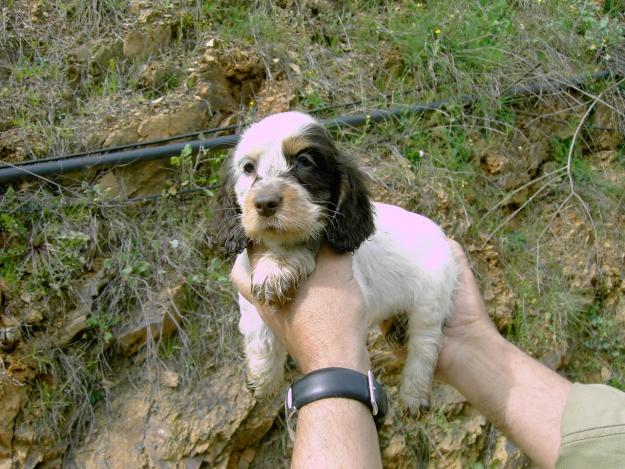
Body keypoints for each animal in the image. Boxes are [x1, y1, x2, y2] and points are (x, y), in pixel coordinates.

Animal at [216, 110, 458, 414]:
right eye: (248, 168)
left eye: (304, 162)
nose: (264, 203)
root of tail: (443, 238)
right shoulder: (248, 295)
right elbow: (259, 336)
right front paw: (262, 379)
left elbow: (305, 242)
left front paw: (277, 268)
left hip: (431, 301)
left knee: (425, 346)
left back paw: (414, 395)